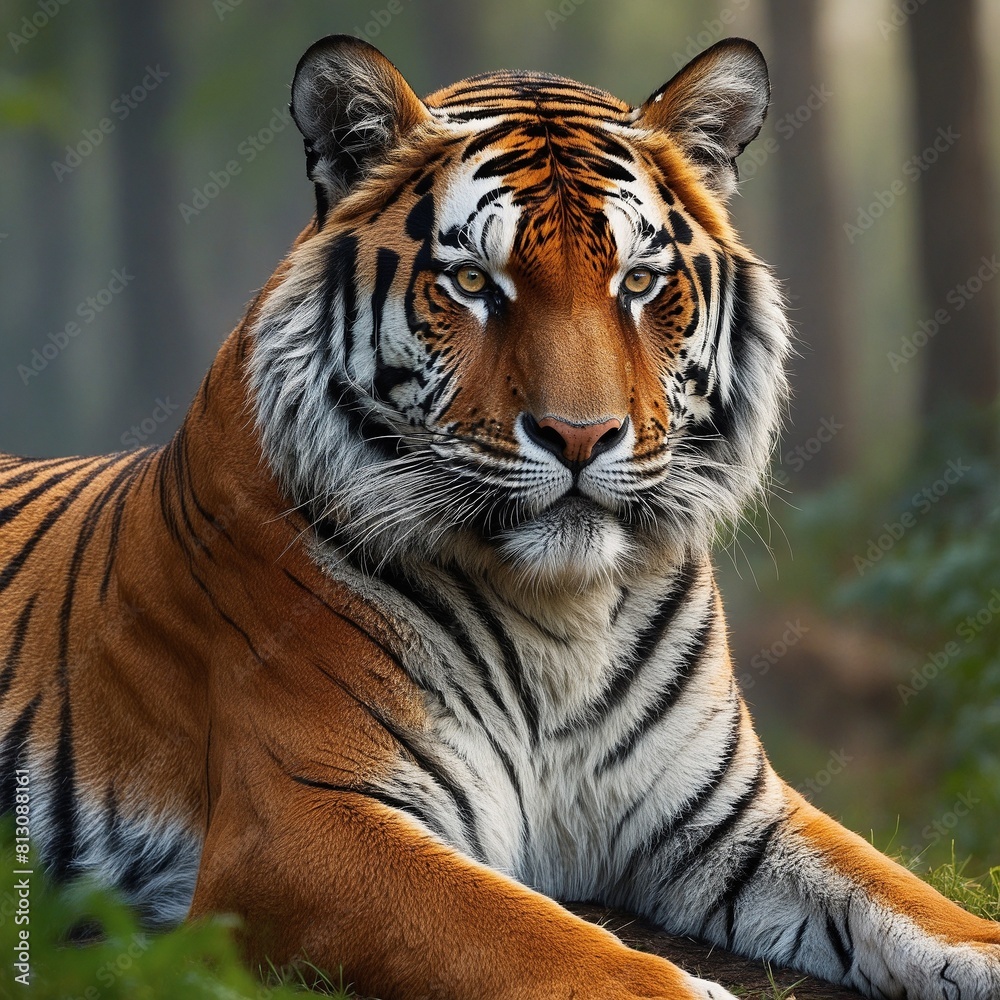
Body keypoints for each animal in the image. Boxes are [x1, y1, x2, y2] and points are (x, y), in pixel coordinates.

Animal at [1, 32, 998, 1000]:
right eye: (475, 283)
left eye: (640, 282)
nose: (580, 435)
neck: (565, 612)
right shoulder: (301, 819)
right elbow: (560, 949)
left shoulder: (723, 814)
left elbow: (907, 899)